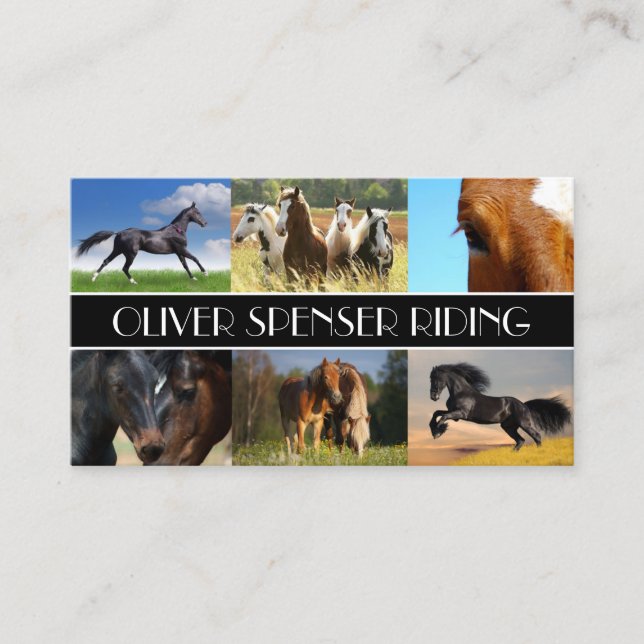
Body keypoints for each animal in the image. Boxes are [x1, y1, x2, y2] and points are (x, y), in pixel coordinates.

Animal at [76, 202, 208, 284]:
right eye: (197, 212)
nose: (205, 223)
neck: (177, 230)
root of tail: (119, 232)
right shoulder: (182, 249)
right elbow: (195, 258)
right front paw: (205, 273)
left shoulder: (178, 252)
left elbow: (185, 265)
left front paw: (193, 278)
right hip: (130, 254)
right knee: (124, 268)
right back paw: (134, 282)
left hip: (118, 251)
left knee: (106, 261)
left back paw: (93, 278)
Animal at [428, 362, 571, 451]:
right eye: (430, 378)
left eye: (436, 378)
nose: (433, 397)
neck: (460, 392)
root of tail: (524, 405)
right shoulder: (454, 414)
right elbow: (436, 413)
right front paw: (435, 430)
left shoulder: (461, 413)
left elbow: (443, 417)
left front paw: (437, 433)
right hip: (508, 426)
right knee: (520, 440)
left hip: (524, 424)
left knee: (536, 436)